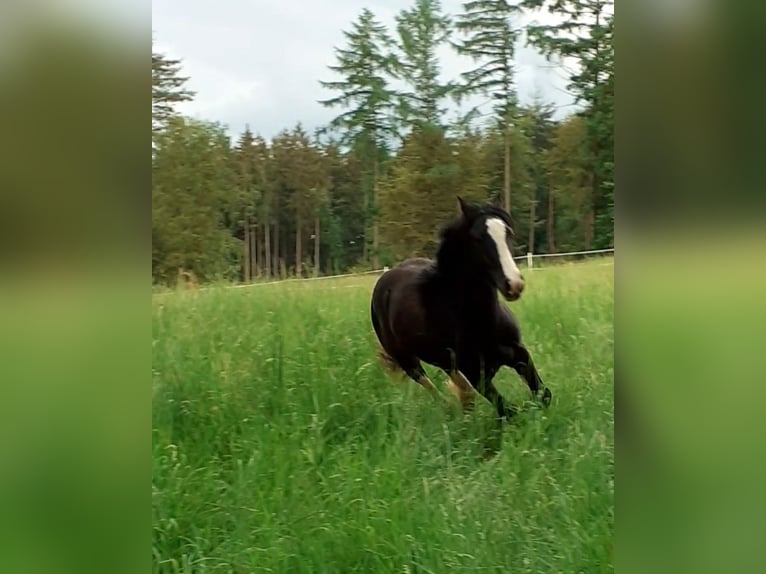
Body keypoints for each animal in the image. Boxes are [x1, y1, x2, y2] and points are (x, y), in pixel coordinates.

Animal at [372, 196, 552, 420]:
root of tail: (386, 277)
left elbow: (543, 395)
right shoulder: (475, 373)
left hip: (445, 362)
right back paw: (449, 409)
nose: (514, 285)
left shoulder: (518, 353)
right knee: (429, 385)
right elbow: (508, 410)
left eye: (508, 232)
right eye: (477, 238)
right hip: (408, 360)